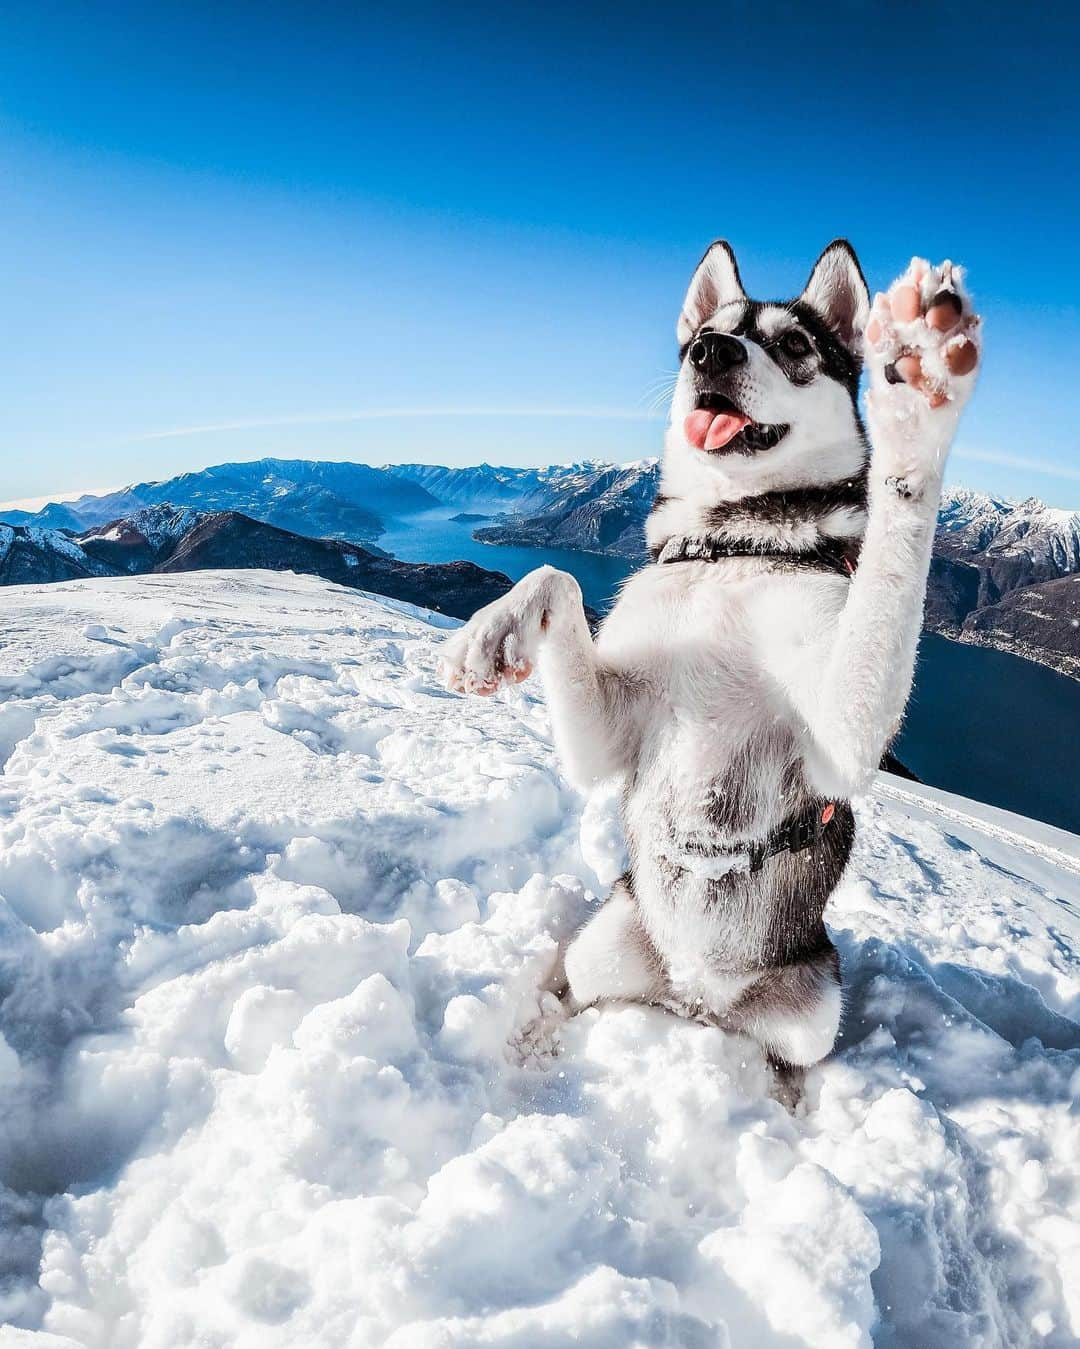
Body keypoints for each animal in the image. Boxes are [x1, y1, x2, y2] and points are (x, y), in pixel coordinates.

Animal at [436, 242, 976, 1073]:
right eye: (707, 332)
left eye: (795, 343)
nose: (711, 353)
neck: (735, 544)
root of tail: (693, 996)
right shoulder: (611, 734)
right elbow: (557, 577)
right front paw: (490, 631)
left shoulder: (839, 739)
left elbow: (891, 563)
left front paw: (918, 401)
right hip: (607, 935)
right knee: (577, 990)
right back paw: (534, 1042)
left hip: (815, 1004)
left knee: (789, 1053)